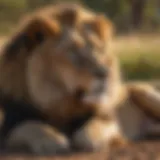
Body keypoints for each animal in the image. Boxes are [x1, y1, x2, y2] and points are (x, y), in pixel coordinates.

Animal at [0, 2, 160, 155]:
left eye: (99, 49)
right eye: (73, 52)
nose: (104, 73)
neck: (62, 104)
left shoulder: (108, 119)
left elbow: (87, 134)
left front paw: (99, 141)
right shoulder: (11, 123)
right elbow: (31, 126)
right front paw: (52, 140)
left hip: (143, 92)